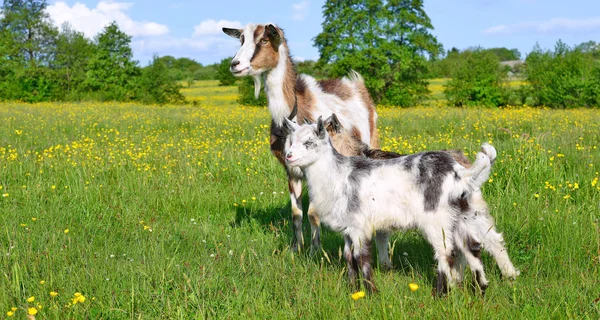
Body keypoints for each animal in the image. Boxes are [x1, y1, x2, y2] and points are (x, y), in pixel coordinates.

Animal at [223, 23, 378, 251]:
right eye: (242, 39)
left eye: (264, 40)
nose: (235, 64)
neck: (291, 114)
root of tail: (355, 83)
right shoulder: (291, 171)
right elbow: (296, 213)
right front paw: (296, 248)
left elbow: (313, 213)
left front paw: (315, 250)